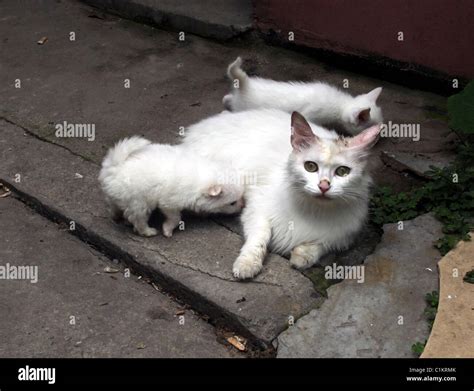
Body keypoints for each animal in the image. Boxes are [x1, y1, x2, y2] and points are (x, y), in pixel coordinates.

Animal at [97, 136, 243, 237]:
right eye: (232, 203)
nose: (242, 206)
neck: (202, 176)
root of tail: (115, 168)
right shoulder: (170, 203)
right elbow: (175, 218)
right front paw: (167, 230)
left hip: (117, 197)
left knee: (114, 207)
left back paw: (117, 217)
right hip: (139, 203)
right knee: (138, 219)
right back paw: (148, 231)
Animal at [181, 108, 382, 278]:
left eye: (342, 171)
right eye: (310, 167)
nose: (324, 186)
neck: (314, 210)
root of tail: (197, 127)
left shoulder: (345, 235)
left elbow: (320, 245)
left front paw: (302, 257)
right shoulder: (256, 210)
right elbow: (260, 238)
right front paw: (247, 264)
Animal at [221, 56, 382, 136]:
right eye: (373, 129)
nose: (379, 137)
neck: (340, 104)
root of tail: (246, 86)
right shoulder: (311, 114)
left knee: (229, 99)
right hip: (243, 108)